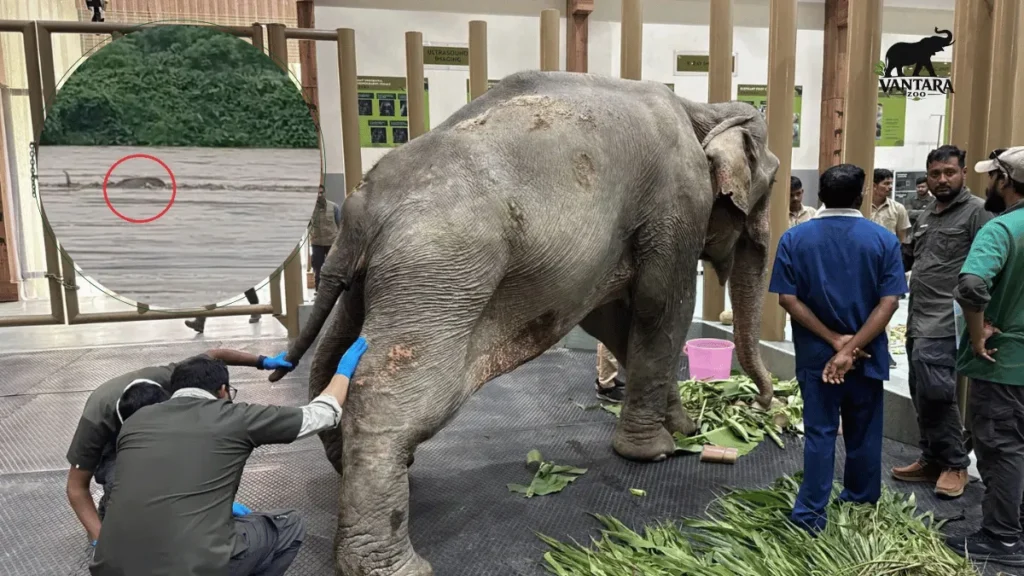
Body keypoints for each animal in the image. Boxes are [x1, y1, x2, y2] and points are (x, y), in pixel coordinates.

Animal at [268, 70, 778, 576]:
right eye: (769, 188)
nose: (761, 404)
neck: (702, 108)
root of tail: (363, 208)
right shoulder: (677, 200)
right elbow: (662, 306)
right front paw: (656, 452)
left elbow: (612, 320)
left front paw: (684, 429)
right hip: (439, 269)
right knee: (391, 393)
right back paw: (394, 565)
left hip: (376, 280)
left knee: (334, 356)